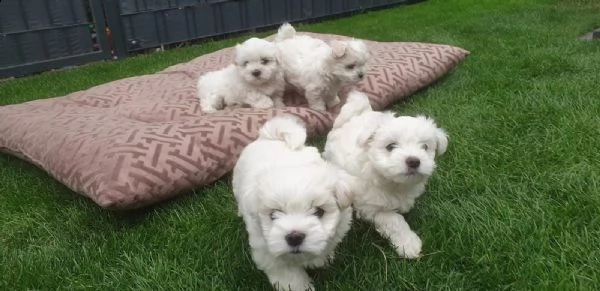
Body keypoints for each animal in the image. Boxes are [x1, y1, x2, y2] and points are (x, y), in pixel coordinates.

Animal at [232, 115, 354, 290]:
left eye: (319, 211)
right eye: (273, 214)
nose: (295, 237)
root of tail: (269, 137)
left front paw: (322, 258)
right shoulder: (269, 254)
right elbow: (290, 277)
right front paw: (302, 286)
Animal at [324, 92, 446, 260]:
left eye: (425, 147)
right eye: (390, 146)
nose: (414, 161)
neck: (393, 183)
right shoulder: (371, 208)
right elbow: (394, 220)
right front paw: (408, 244)